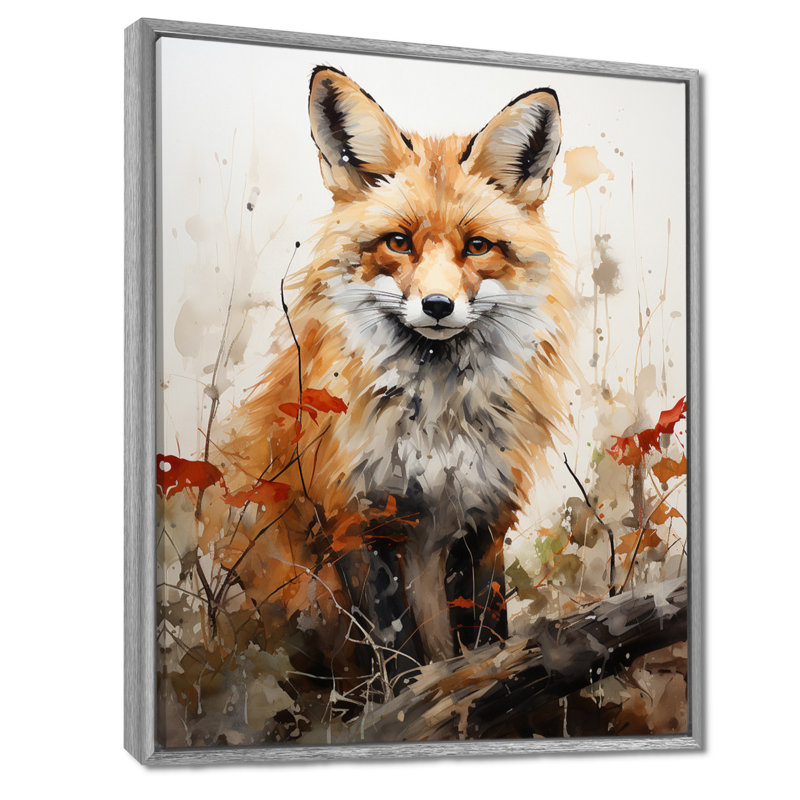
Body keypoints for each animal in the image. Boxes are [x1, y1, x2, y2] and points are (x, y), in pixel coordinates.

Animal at [206, 66, 574, 686]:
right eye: (399, 242)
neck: (436, 424)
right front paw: (405, 702)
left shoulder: (483, 519)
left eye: (477, 246)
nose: (437, 305)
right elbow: (395, 652)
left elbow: (486, 636)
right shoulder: (357, 519)